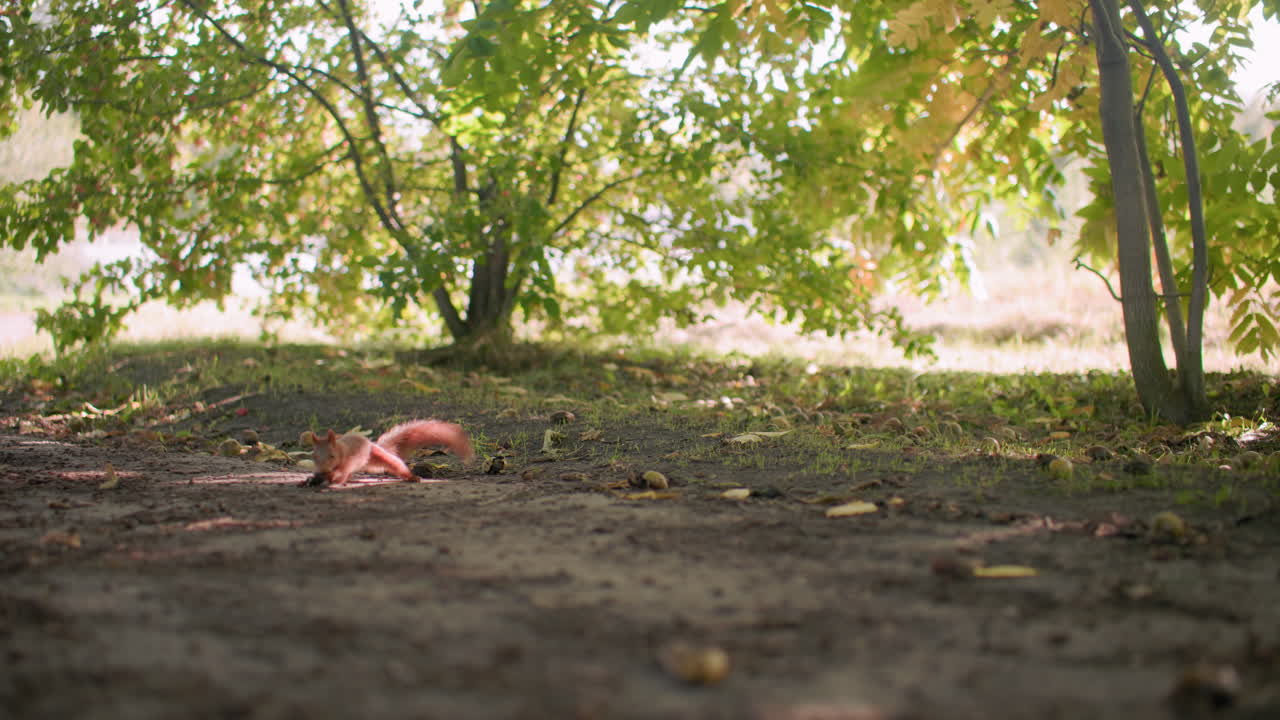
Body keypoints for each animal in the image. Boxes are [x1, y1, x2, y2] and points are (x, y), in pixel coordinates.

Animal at [300, 420, 474, 487]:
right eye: (313, 456)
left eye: (332, 456)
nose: (322, 471)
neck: (341, 449)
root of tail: (372, 444)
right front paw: (310, 479)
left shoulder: (347, 461)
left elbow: (340, 472)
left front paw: (330, 478)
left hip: (378, 455)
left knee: (396, 464)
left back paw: (412, 477)